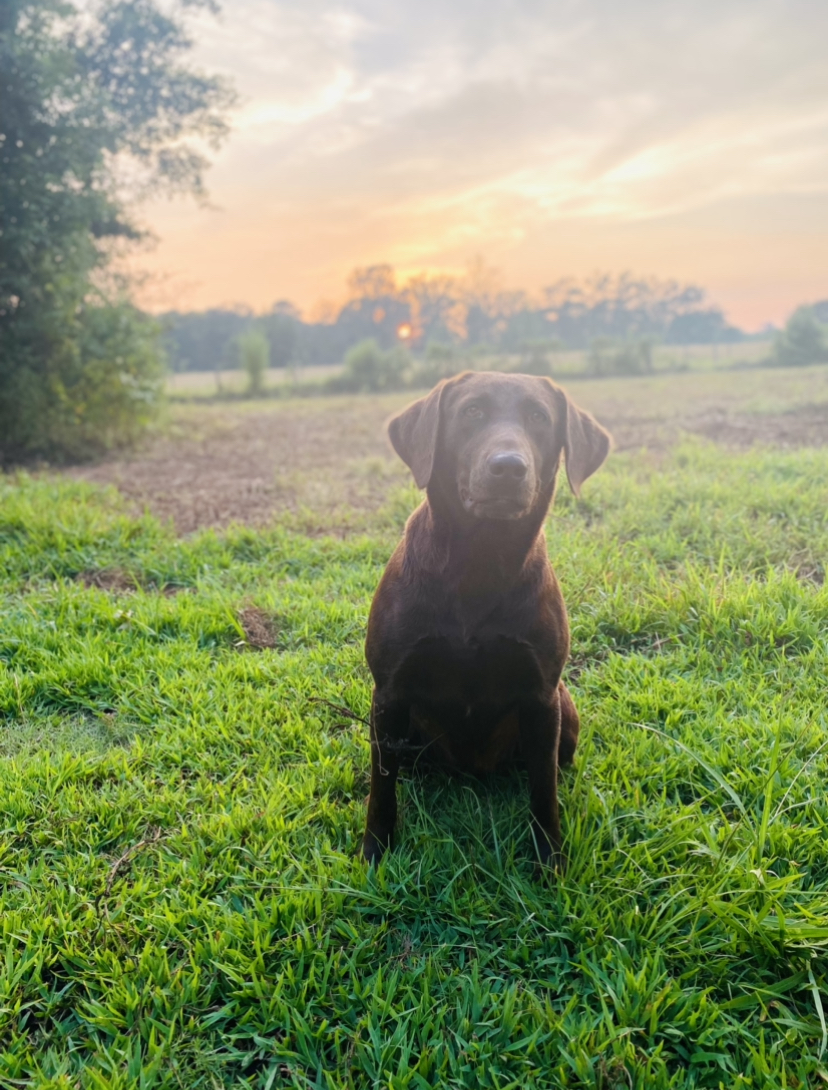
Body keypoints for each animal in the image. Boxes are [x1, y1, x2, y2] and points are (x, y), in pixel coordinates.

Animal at [361, 372, 610, 867]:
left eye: (539, 417)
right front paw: (375, 851)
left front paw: (548, 860)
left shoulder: (541, 699)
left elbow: (544, 791)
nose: (509, 468)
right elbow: (382, 789)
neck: (479, 564)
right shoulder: (389, 694)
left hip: (564, 706)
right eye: (472, 412)